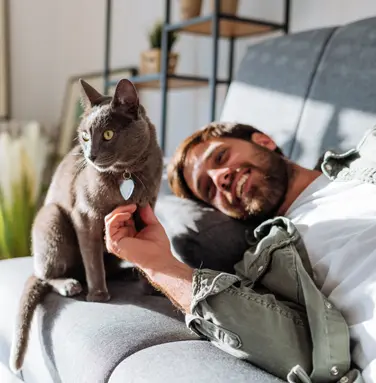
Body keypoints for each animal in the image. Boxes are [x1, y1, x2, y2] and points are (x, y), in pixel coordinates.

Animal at [9, 79, 163, 376]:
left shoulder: (146, 208)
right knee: (46, 274)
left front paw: (148, 284)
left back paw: (124, 273)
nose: (90, 155)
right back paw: (70, 284)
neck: (127, 172)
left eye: (108, 134)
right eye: (84, 136)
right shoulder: (85, 215)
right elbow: (92, 261)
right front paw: (98, 295)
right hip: (51, 217)